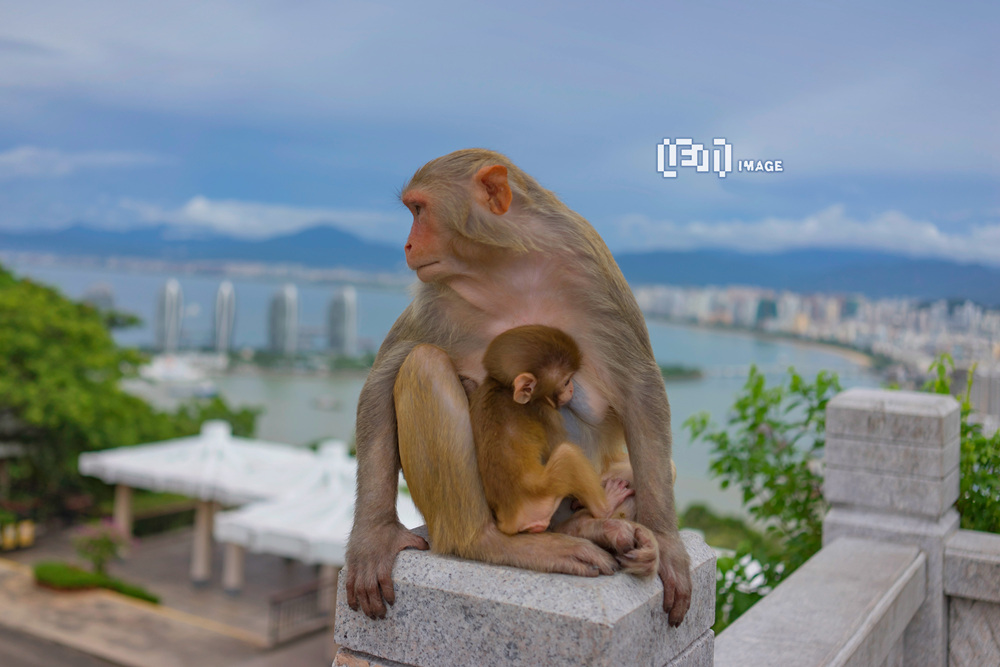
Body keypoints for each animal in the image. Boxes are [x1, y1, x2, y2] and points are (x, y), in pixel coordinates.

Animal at [470, 324, 632, 536]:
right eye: (566, 381)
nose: (571, 389)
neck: (503, 386)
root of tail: (511, 521)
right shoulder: (545, 412)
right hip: (543, 495)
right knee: (567, 453)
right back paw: (605, 506)